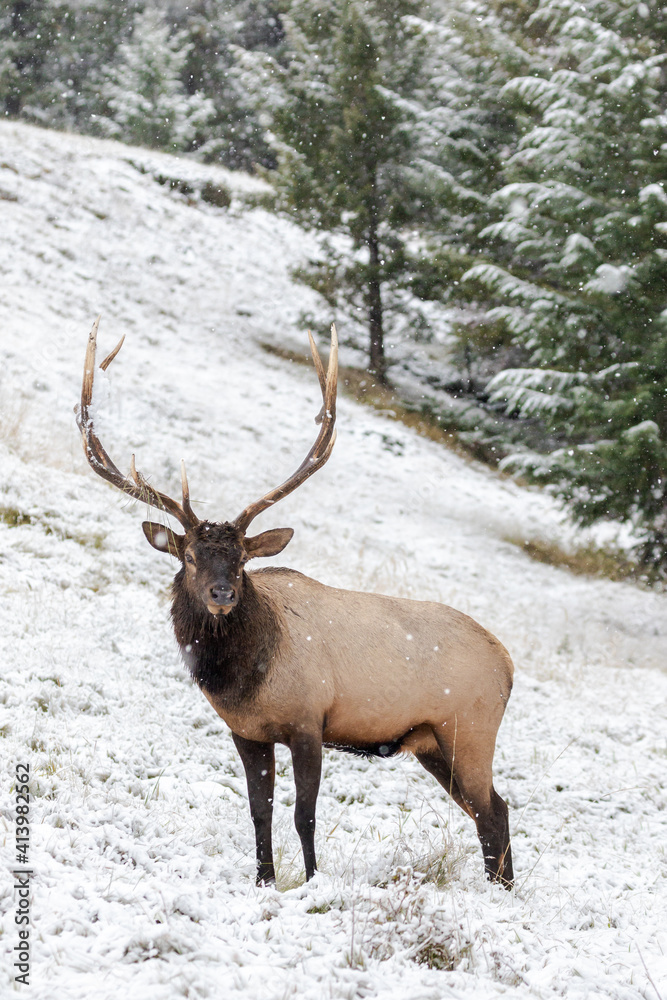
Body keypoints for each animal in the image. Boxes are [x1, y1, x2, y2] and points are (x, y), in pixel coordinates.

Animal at [78, 316, 516, 888]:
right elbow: (258, 810)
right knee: (493, 811)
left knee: (492, 811)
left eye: (241, 558)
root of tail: (508, 662)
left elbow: (304, 814)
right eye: (190, 556)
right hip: (432, 744)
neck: (244, 679)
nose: (223, 592)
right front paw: (263, 880)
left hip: (469, 729)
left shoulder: (310, 722)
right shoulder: (246, 733)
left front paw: (310, 881)